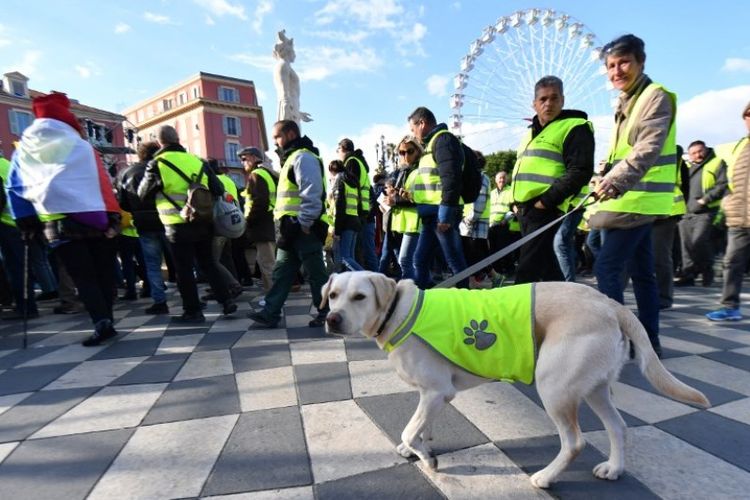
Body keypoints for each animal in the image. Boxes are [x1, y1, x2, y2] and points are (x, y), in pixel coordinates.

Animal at [324, 274, 712, 488]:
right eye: (333, 295)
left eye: (359, 297)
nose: (330, 318)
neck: (396, 311)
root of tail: (609, 303)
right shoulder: (434, 396)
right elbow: (421, 426)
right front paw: (419, 447)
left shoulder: (437, 391)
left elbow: (409, 429)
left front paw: (424, 457)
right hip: (594, 388)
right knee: (618, 427)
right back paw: (614, 468)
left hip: (554, 386)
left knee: (574, 442)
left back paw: (545, 478)